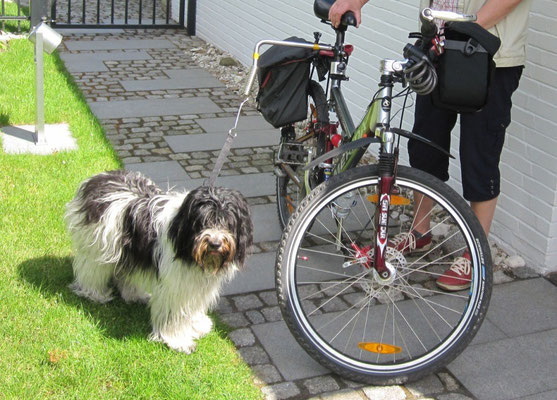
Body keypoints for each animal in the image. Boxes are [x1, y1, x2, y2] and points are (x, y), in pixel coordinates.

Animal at [65, 170, 254, 352]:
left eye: (228, 224)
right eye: (202, 223)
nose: (215, 243)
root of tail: (97, 179)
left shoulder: (194, 285)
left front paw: (196, 324)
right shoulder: (175, 286)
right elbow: (173, 315)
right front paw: (179, 341)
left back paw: (134, 295)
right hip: (99, 246)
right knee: (91, 269)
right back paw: (95, 293)